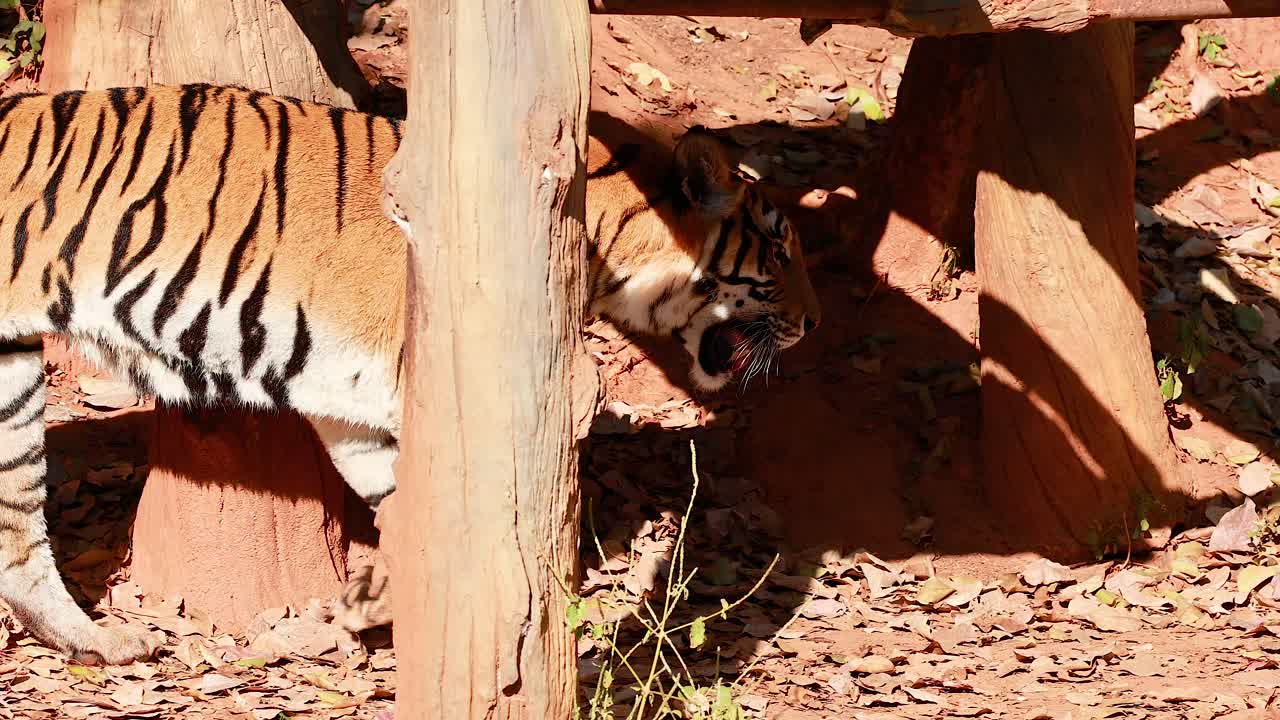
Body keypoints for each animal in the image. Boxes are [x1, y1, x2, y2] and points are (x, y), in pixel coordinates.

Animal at [0, 83, 821, 665]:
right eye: (780, 252)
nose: (814, 323)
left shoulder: (346, 397)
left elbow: (403, 508)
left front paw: (360, 606)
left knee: (18, 529)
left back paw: (93, 643)